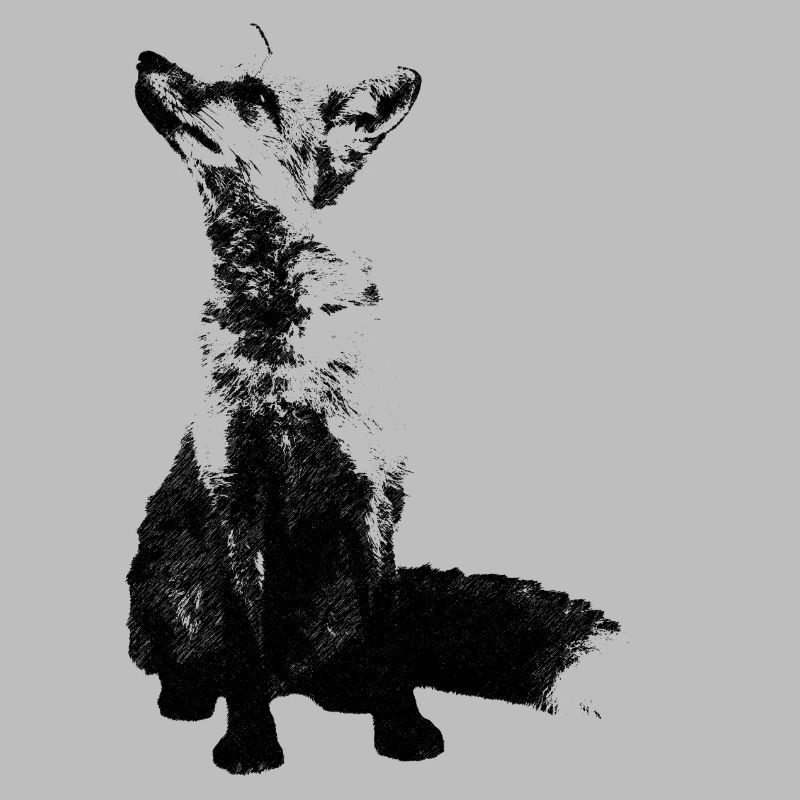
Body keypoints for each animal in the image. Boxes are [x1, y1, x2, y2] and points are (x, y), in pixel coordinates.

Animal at [128, 25, 622, 775]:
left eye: (253, 94)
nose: (146, 58)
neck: (285, 361)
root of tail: (297, 676)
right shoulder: (234, 494)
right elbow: (244, 644)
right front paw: (250, 742)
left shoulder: (368, 494)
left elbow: (388, 637)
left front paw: (402, 730)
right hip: (167, 588)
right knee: (192, 660)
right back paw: (190, 694)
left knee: (342, 659)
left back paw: (344, 693)